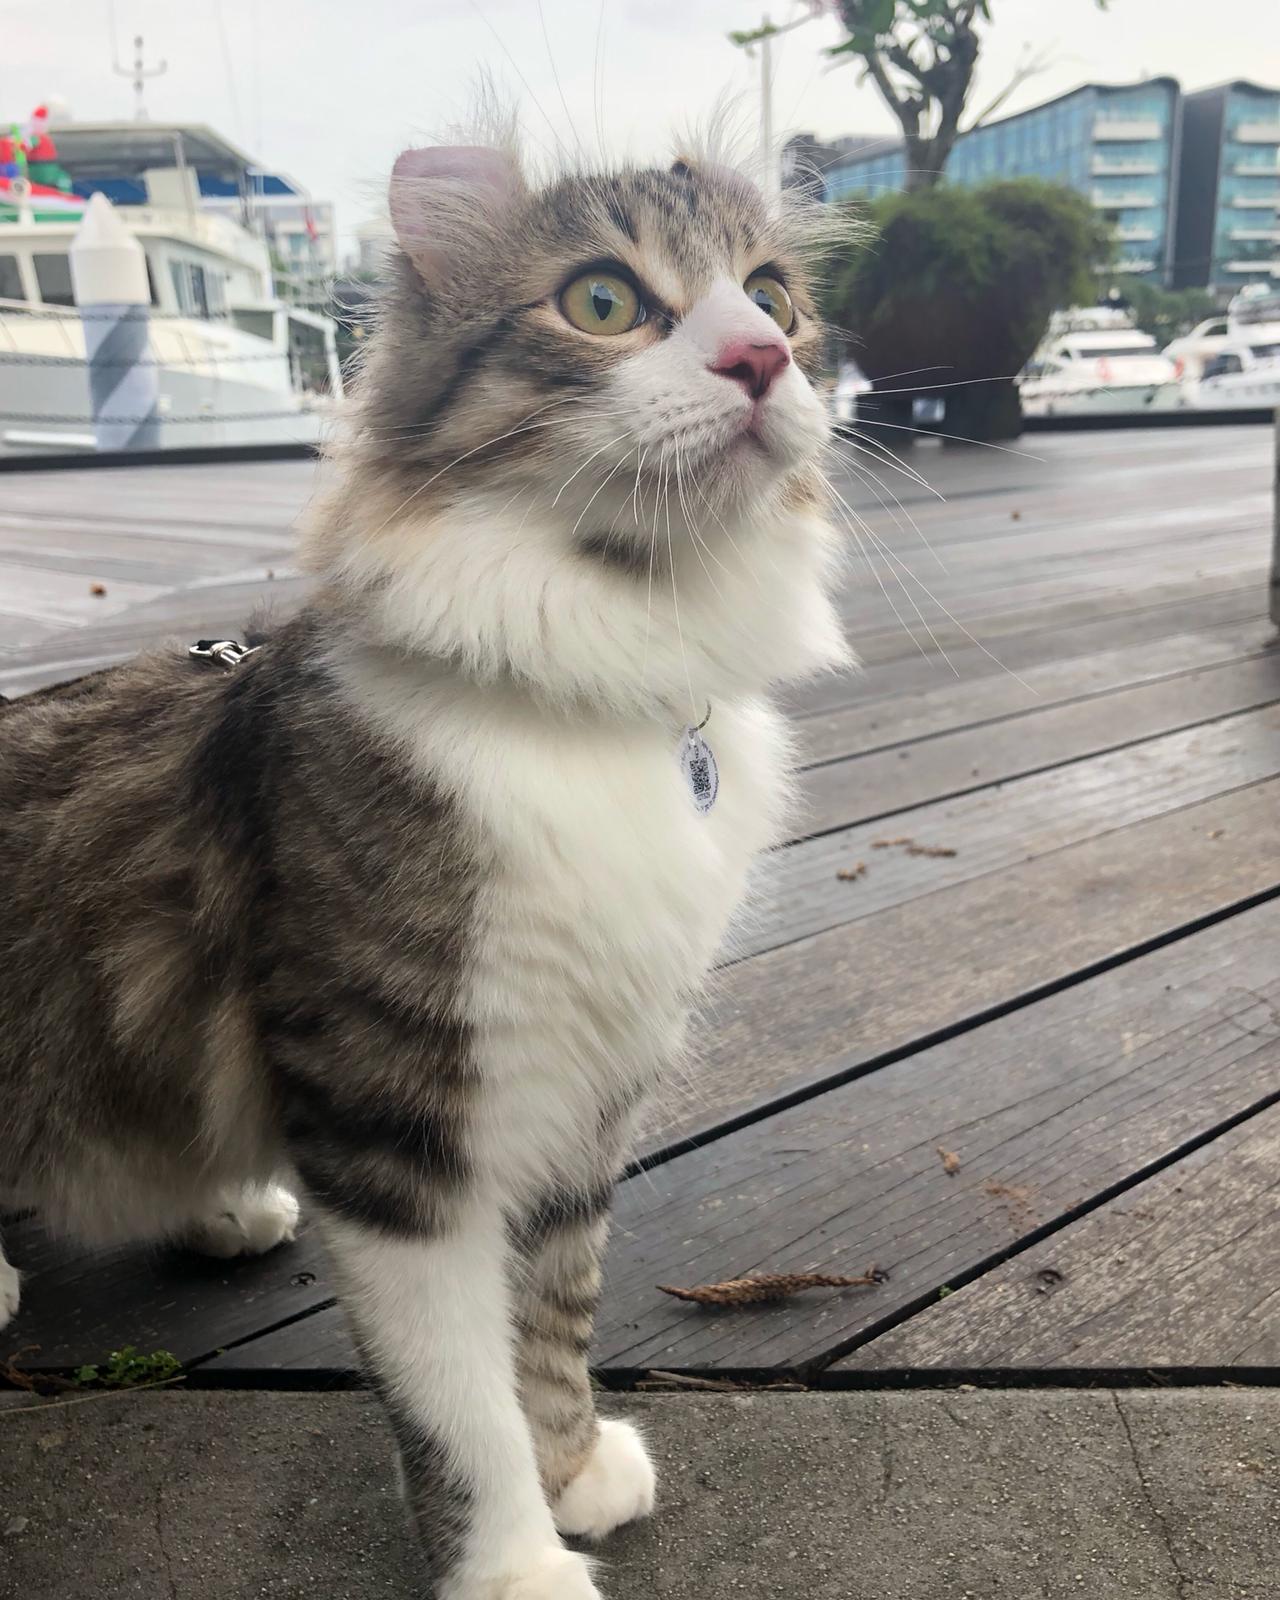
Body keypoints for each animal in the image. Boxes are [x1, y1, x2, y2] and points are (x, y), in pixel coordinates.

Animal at [0, 137, 849, 1599]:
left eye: (773, 297)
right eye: (604, 301)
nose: (757, 360)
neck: (597, 690)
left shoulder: (585, 1087)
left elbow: (553, 1316)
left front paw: (572, 1469)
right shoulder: (394, 1121)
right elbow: (457, 1397)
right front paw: (512, 1563)